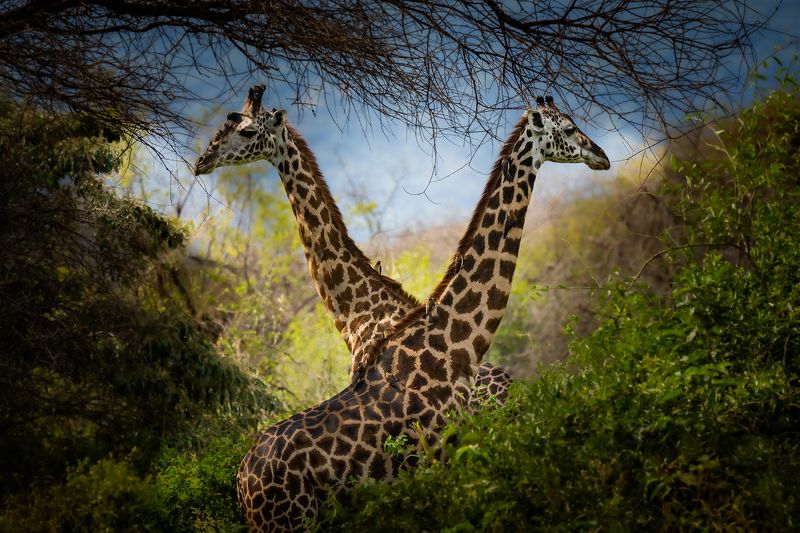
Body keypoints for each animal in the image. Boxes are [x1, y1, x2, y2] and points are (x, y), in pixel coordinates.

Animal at [233, 96, 610, 531]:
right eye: (567, 129)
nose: (601, 156)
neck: (456, 348)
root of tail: (242, 482)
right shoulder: (441, 459)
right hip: (290, 521)